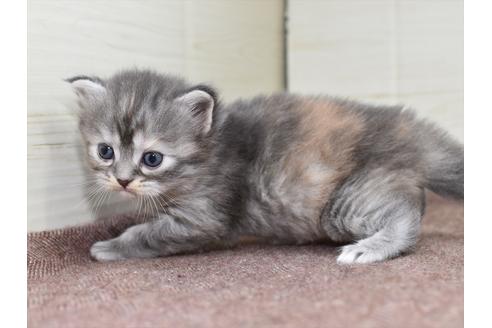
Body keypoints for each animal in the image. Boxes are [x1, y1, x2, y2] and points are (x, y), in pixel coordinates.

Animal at [67, 68, 464, 264]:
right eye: (105, 151)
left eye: (152, 158)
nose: (122, 181)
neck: (210, 151)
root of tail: (407, 127)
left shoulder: (204, 218)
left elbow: (148, 233)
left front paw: (112, 246)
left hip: (347, 201)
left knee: (406, 215)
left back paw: (370, 247)